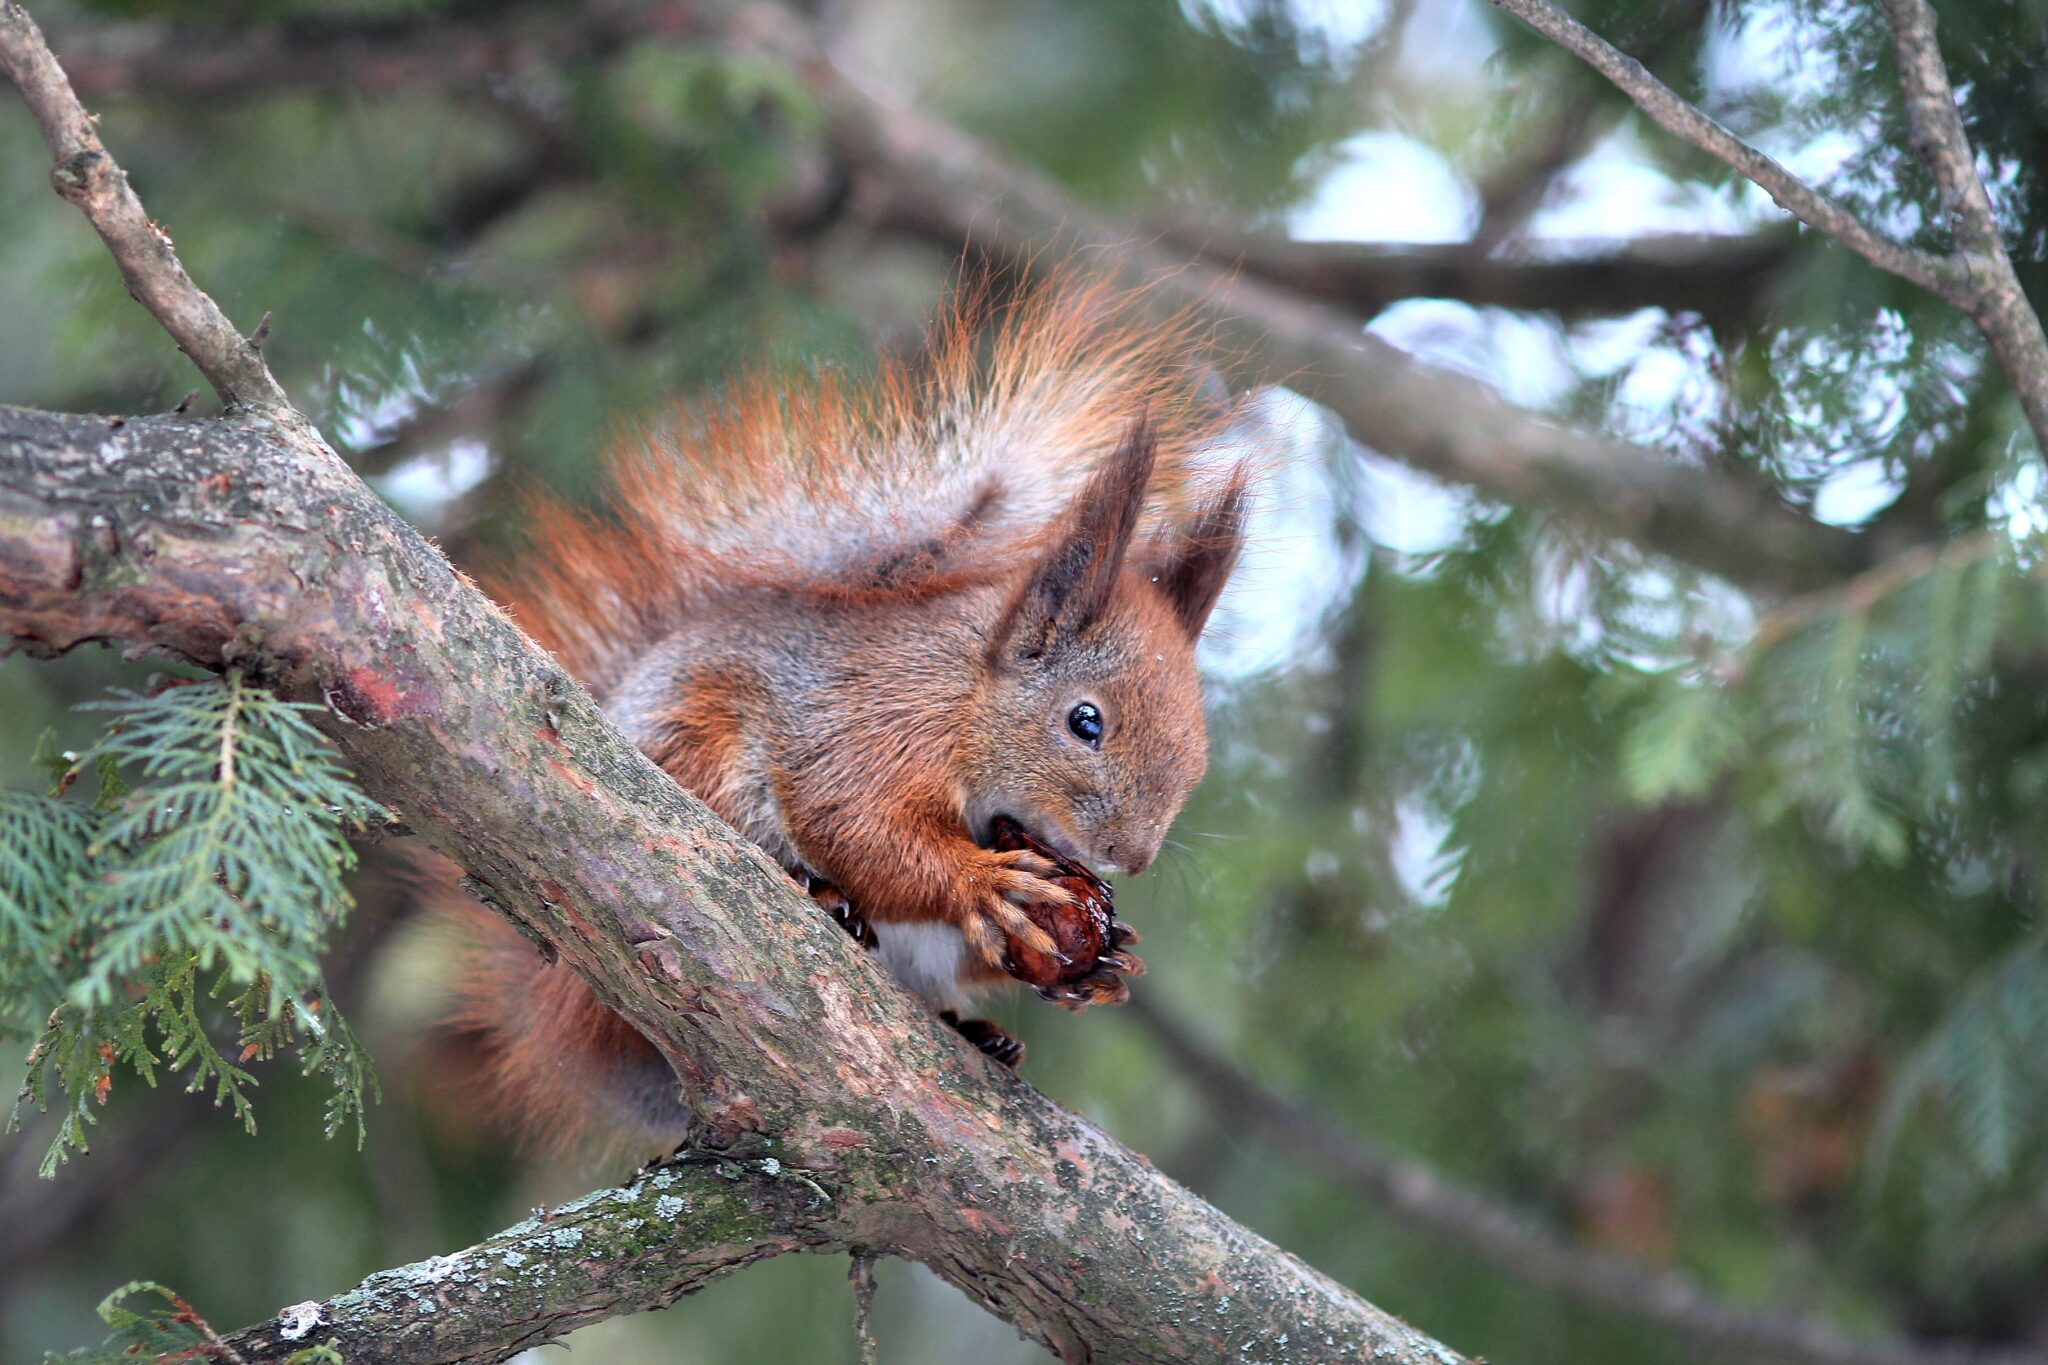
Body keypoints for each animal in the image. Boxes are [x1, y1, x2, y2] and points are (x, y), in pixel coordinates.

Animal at [430, 274, 1253, 1152]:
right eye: (1085, 721)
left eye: (1197, 759)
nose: (1130, 857)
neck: (967, 699)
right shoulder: (874, 723)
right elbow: (854, 822)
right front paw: (983, 881)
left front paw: (1102, 958)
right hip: (698, 754)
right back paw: (819, 897)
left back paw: (978, 1033)